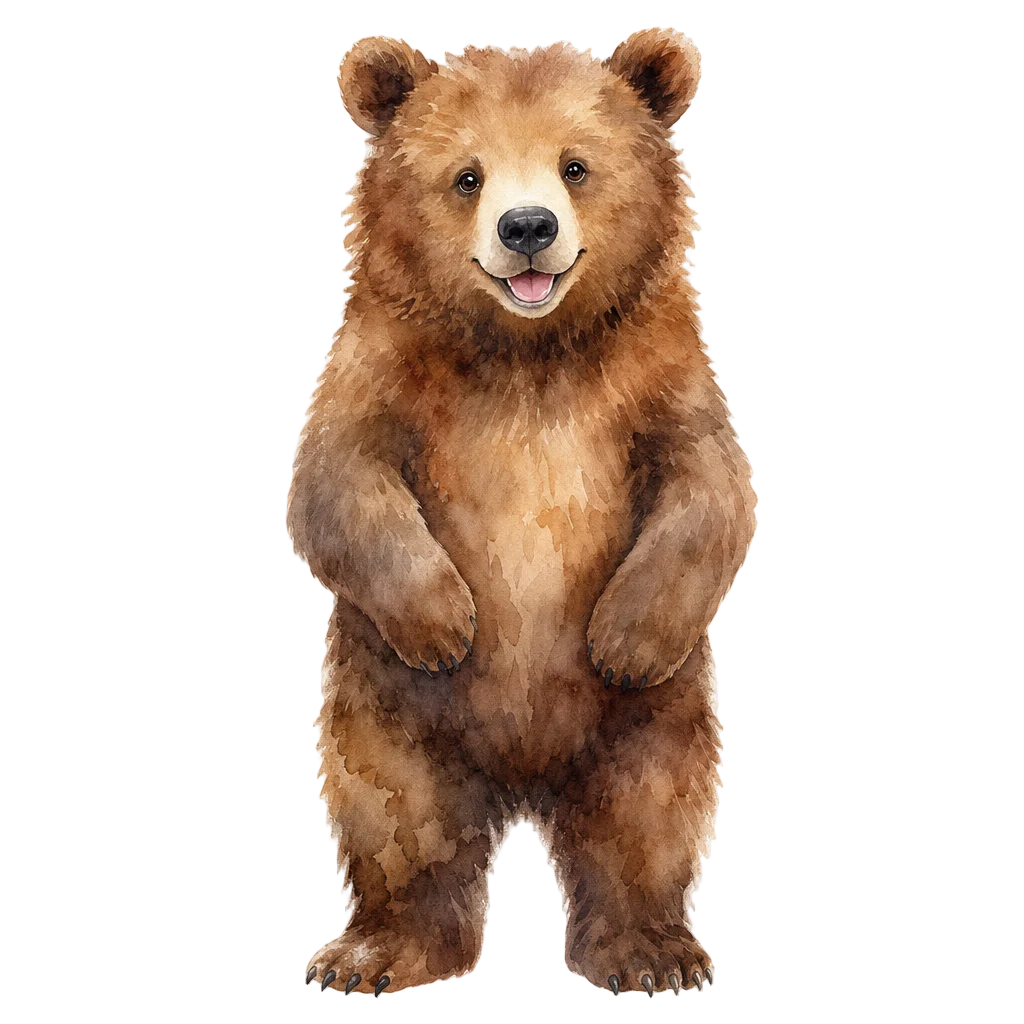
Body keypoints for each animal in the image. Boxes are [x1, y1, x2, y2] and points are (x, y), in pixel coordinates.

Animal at [293, 28, 760, 998]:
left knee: (648, 815)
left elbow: (710, 491)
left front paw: (624, 638)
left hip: (650, 721)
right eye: (466, 174)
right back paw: (376, 951)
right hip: (388, 706)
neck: (528, 353)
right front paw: (446, 622)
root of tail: (523, 780)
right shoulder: (381, 363)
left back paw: (651, 952)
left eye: (575, 164)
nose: (528, 228)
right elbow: (335, 483)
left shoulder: (657, 375)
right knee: (395, 813)